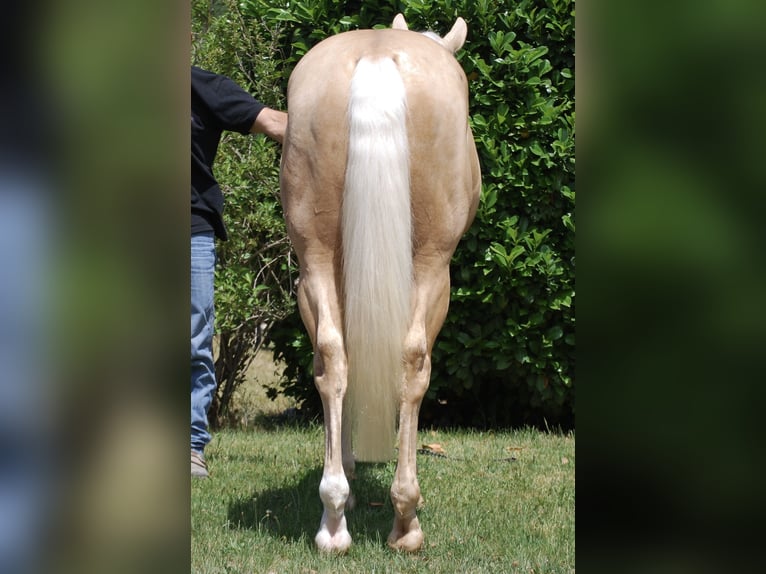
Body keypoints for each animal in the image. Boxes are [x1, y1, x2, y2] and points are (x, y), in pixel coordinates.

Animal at [279, 13, 481, 552]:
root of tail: (375, 54)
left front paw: (347, 480)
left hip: (314, 259)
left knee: (332, 359)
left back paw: (332, 520)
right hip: (432, 265)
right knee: (411, 364)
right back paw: (406, 521)